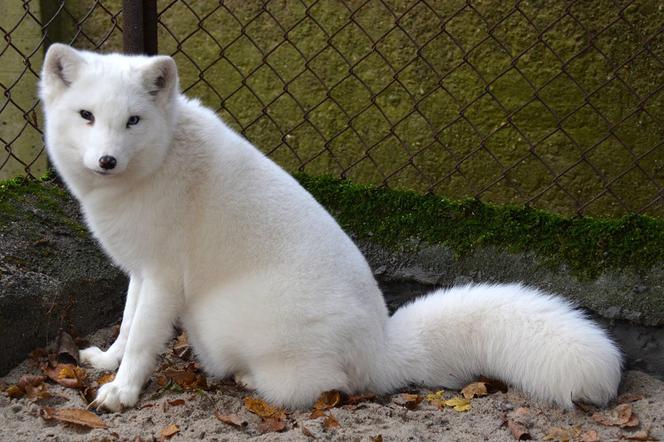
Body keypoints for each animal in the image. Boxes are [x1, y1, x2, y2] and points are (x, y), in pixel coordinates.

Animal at [41, 44, 624, 410]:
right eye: (87, 116)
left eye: (133, 120)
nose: (107, 161)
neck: (157, 163)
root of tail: (383, 346)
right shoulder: (142, 271)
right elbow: (126, 323)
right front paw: (106, 362)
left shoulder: (165, 277)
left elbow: (143, 339)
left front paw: (123, 392)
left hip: (228, 319)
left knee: (322, 387)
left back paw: (251, 378)